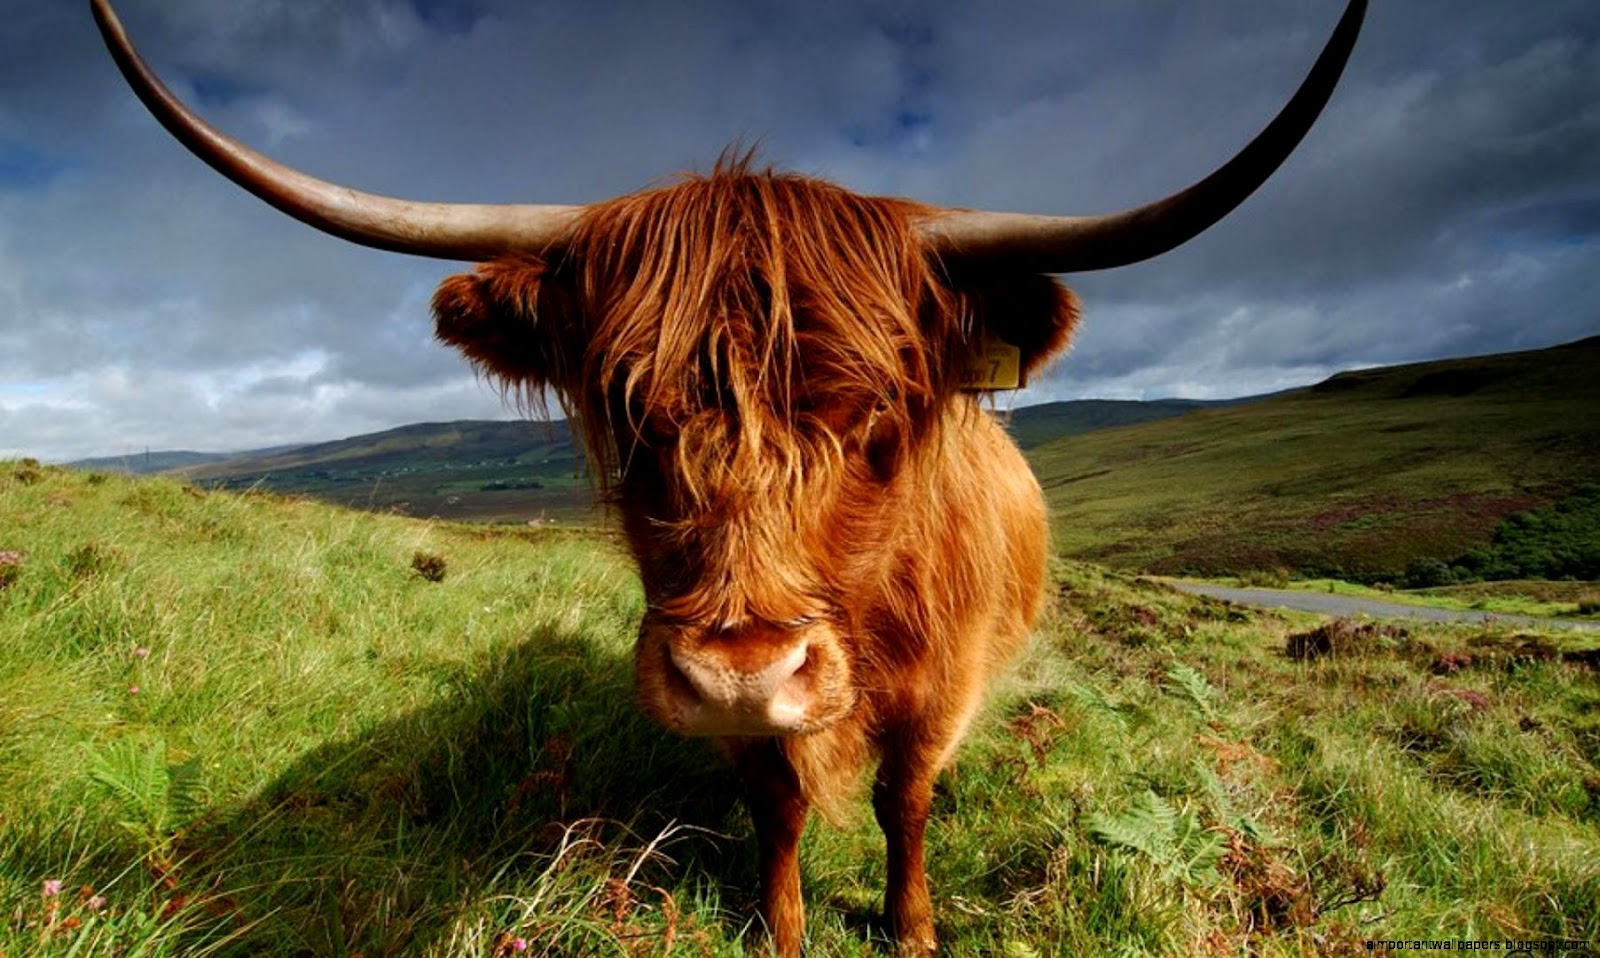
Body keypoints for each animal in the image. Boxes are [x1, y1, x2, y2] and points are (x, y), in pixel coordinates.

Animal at [92, 1, 1364, 953]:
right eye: (622, 405)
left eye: (874, 412)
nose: (740, 671)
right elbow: (779, 804)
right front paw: (780, 926)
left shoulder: (942, 687)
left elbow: (905, 798)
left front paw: (909, 928)